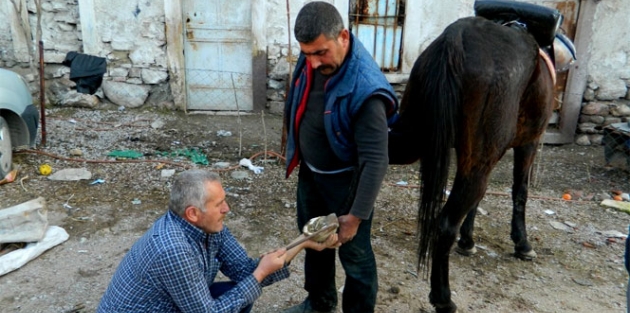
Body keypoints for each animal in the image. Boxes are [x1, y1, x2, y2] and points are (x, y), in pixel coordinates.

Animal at [390, 13, 556, 310]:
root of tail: (456, 36)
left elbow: (477, 202)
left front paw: (467, 241)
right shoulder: (528, 144)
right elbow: (520, 192)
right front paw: (523, 244)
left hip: (412, 141)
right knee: (445, 224)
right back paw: (443, 298)